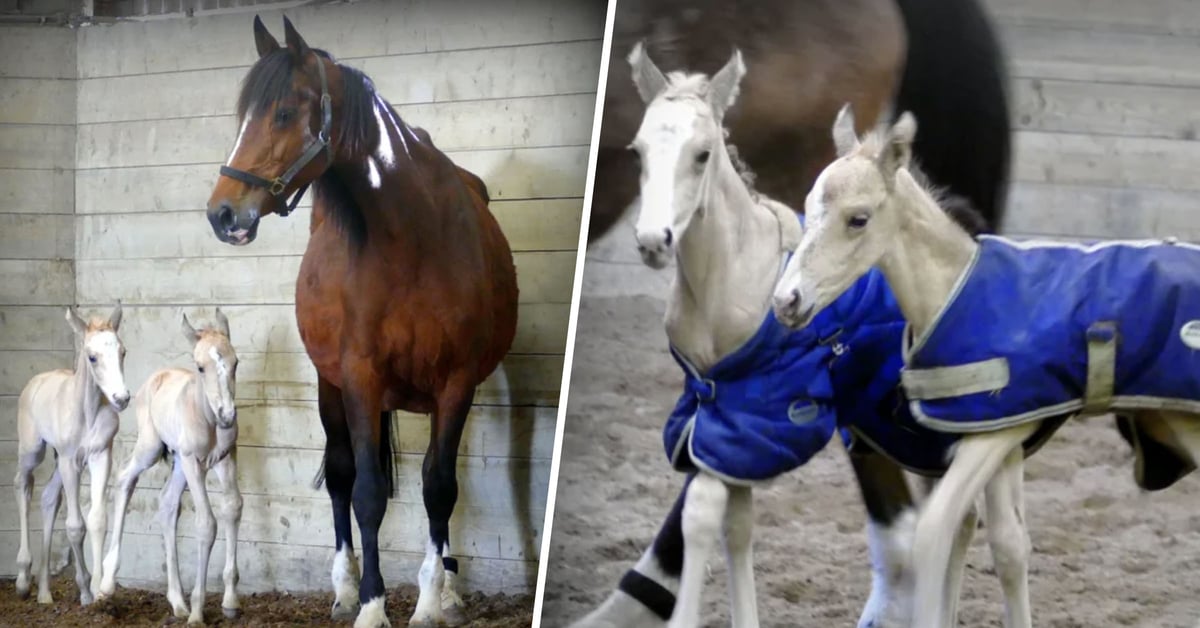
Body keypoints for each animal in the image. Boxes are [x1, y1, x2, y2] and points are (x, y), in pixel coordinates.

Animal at [12, 303, 130, 606]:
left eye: (122, 352)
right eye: (92, 357)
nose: (121, 398)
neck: (86, 411)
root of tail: (36, 382)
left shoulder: (100, 455)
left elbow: (97, 519)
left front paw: (97, 590)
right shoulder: (70, 461)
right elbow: (76, 526)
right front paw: (86, 589)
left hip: (57, 461)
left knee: (48, 497)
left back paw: (44, 592)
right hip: (34, 451)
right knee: (23, 485)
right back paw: (23, 579)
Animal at [97, 309, 243, 625]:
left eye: (235, 362)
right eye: (201, 367)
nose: (227, 415)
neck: (207, 417)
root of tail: (155, 378)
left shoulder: (225, 458)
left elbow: (233, 507)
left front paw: (230, 601)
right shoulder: (193, 461)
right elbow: (206, 523)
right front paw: (199, 612)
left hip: (177, 464)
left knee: (167, 502)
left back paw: (177, 601)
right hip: (153, 448)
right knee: (125, 478)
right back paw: (107, 583)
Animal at [204, 16, 519, 628]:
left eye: (283, 112)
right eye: (244, 116)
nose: (222, 213)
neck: (409, 243)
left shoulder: (457, 385)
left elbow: (439, 487)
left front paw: (430, 602)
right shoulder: (360, 379)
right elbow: (368, 492)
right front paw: (372, 605)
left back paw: (447, 586)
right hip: (332, 389)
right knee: (342, 477)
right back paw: (344, 588)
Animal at [772, 106, 1200, 627]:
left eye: (858, 218)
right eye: (808, 206)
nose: (786, 301)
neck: (953, 292)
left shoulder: (993, 434)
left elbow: (936, 531)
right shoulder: (999, 435)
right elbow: (1007, 546)